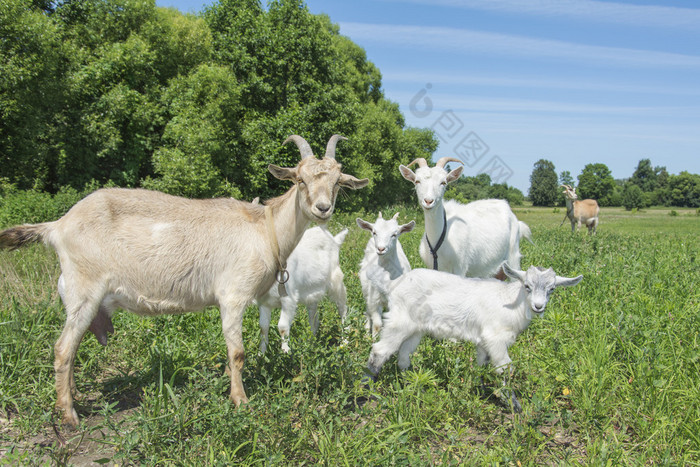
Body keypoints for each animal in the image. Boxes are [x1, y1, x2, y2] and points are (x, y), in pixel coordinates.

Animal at [0, 134, 370, 428]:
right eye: (300, 180)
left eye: (337, 182)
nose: (322, 208)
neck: (265, 229)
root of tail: (58, 226)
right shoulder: (233, 294)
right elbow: (238, 352)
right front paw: (241, 401)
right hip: (84, 289)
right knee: (63, 348)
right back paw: (69, 416)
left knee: (71, 348)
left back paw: (73, 396)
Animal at [370, 264, 584, 414]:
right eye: (527, 286)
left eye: (552, 289)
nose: (538, 306)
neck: (510, 302)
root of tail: (394, 285)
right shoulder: (496, 339)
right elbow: (505, 368)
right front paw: (514, 406)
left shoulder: (484, 341)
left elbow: (481, 365)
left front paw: (479, 391)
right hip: (399, 321)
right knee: (379, 350)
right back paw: (369, 386)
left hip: (415, 328)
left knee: (404, 356)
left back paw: (415, 384)